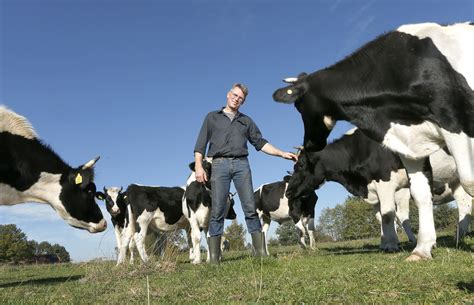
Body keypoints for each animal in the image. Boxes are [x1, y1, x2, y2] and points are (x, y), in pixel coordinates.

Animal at [274, 23, 474, 258]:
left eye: (301, 165)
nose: (288, 192)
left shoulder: (387, 181)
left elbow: (390, 214)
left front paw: (393, 244)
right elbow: (386, 213)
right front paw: (394, 243)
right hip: (454, 179)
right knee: (464, 202)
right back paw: (460, 237)